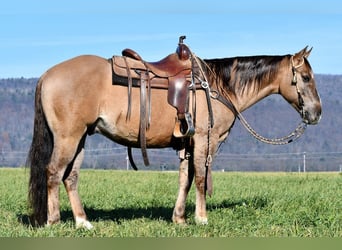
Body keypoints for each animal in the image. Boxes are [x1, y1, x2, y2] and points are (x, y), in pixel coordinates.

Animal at [26, 37, 320, 229]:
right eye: (305, 77)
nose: (316, 113)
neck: (217, 86)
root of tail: (47, 75)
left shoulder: (186, 145)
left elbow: (184, 180)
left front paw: (179, 218)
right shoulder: (203, 140)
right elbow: (200, 178)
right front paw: (201, 218)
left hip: (81, 138)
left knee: (71, 177)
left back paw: (83, 222)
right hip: (68, 138)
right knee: (53, 172)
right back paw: (53, 221)